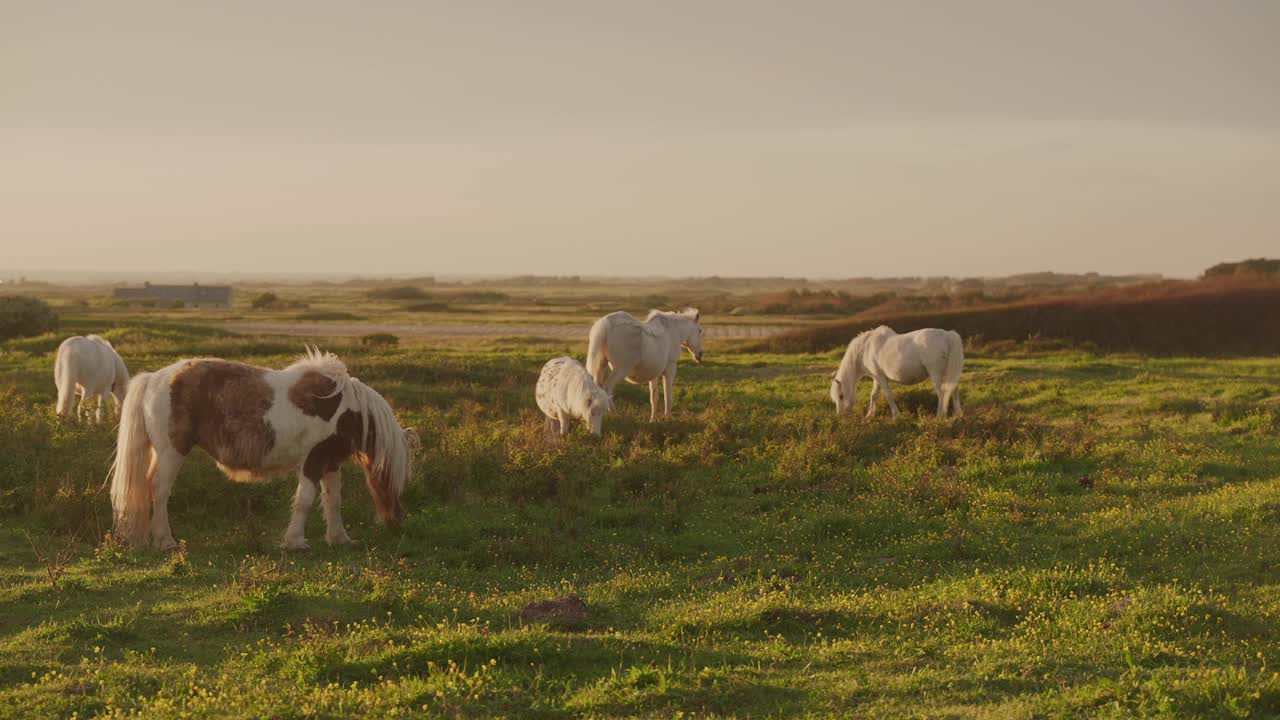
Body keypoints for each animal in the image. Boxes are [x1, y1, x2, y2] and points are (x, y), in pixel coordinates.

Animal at [110, 345, 417, 545]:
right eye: (392, 473)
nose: (396, 520)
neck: (345, 409)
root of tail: (153, 378)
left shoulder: (330, 462)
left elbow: (333, 501)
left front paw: (339, 538)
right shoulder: (312, 460)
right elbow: (305, 500)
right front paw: (295, 541)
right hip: (171, 451)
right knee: (159, 491)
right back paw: (166, 541)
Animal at [824, 324, 962, 417]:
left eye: (841, 396)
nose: (841, 415)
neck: (865, 349)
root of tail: (947, 336)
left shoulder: (880, 377)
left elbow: (888, 395)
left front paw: (896, 415)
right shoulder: (877, 377)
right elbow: (873, 395)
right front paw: (870, 415)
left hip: (936, 374)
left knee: (942, 392)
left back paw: (940, 415)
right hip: (948, 374)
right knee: (953, 389)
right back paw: (957, 415)